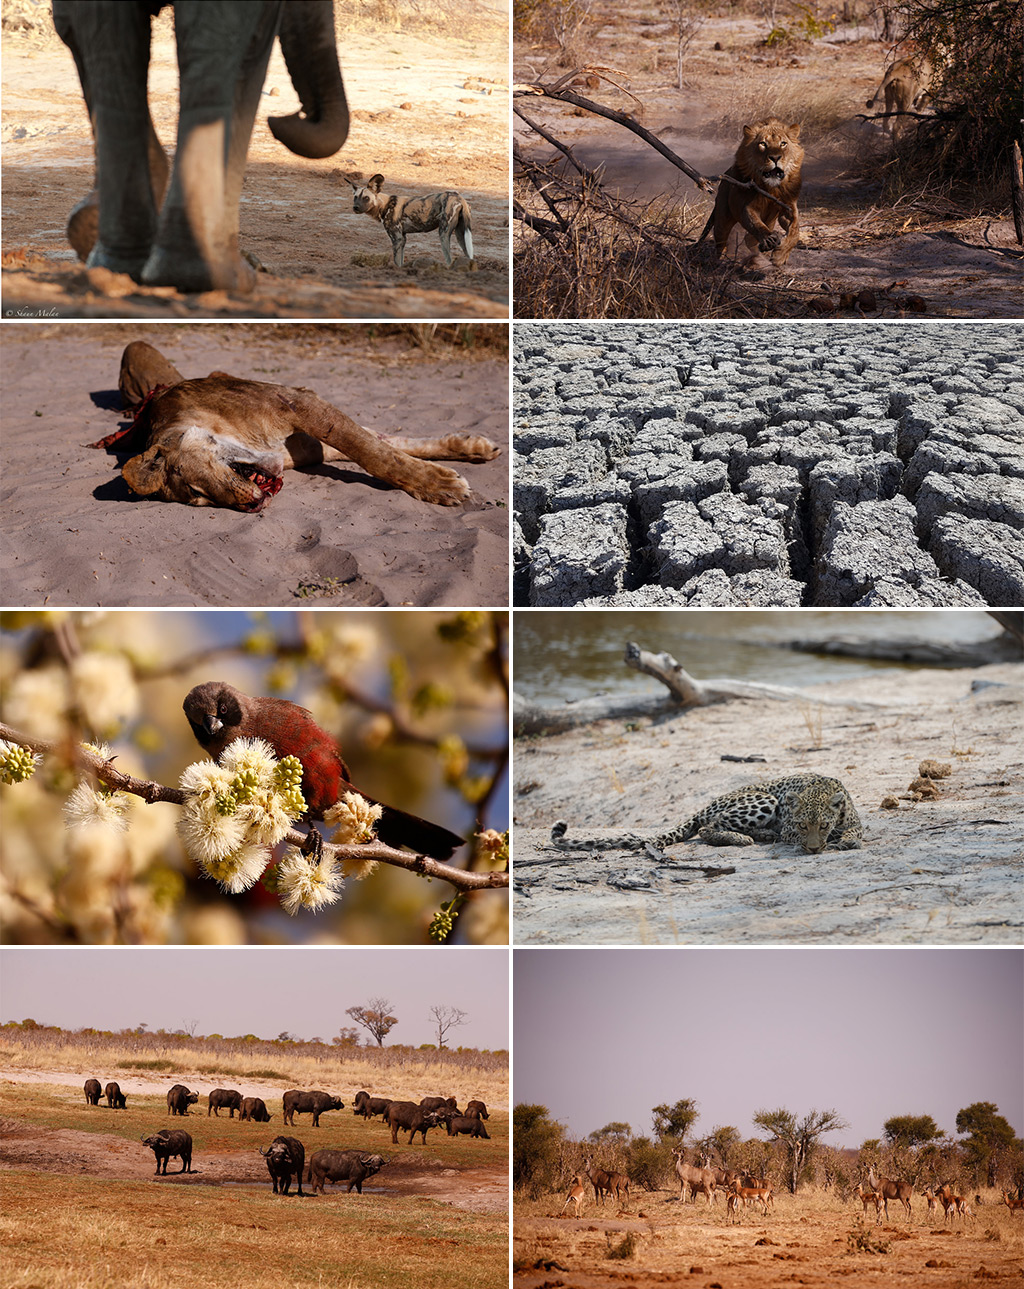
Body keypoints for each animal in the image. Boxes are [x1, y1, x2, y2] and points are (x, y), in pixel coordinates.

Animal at [343, 174, 472, 266]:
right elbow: (401, 261)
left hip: (443, 234)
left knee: (449, 259)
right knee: (469, 256)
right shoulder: (403, 238)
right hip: (461, 235)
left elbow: (397, 262)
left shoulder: (397, 239)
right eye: (355, 197)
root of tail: (458, 197)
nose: (355, 207)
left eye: (366, 198)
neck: (384, 205)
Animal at [546, 773, 856, 855]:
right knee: (708, 828)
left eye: (823, 825)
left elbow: (853, 832)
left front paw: (844, 840)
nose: (813, 849)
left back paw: (763, 834)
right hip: (764, 798)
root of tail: (705, 805)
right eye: (802, 826)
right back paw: (743, 838)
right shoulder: (790, 830)